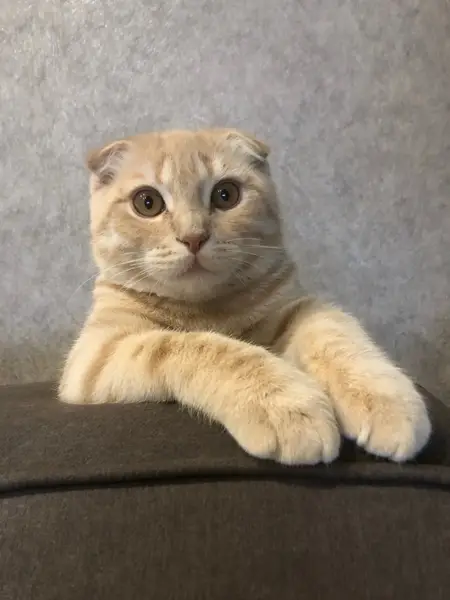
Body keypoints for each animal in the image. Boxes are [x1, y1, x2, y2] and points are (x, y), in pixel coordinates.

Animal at [59, 128, 431, 465]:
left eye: (226, 195)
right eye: (146, 202)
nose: (193, 237)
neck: (204, 308)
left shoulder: (297, 307)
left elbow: (335, 334)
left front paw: (385, 399)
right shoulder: (97, 354)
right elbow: (197, 346)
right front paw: (285, 404)